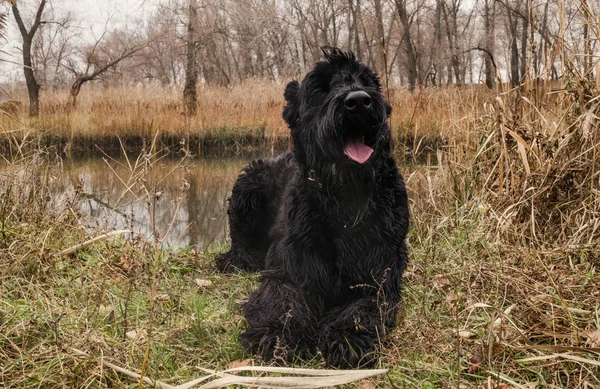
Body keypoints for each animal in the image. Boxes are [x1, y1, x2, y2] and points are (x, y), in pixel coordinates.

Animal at [216, 47, 408, 366]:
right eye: (320, 87)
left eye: (367, 81)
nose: (359, 101)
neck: (345, 200)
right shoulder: (291, 270)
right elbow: (284, 301)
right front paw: (277, 333)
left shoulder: (378, 277)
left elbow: (361, 310)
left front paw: (346, 338)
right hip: (248, 186)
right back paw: (237, 258)